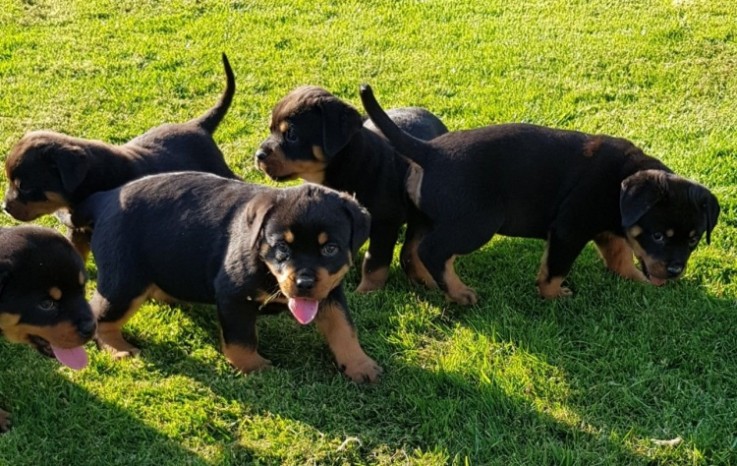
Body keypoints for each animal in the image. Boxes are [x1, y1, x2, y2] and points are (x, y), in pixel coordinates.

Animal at [74, 171, 380, 382]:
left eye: (330, 249)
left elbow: (344, 328)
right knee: (102, 317)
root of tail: (105, 198)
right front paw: (254, 368)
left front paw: (360, 365)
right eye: (282, 247)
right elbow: (241, 339)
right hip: (125, 282)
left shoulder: (330, 292)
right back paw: (118, 349)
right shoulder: (233, 297)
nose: (304, 284)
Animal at [253, 85, 448, 294]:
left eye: (291, 135)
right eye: (271, 129)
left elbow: (374, 264)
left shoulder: (384, 224)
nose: (258, 155)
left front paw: (367, 292)